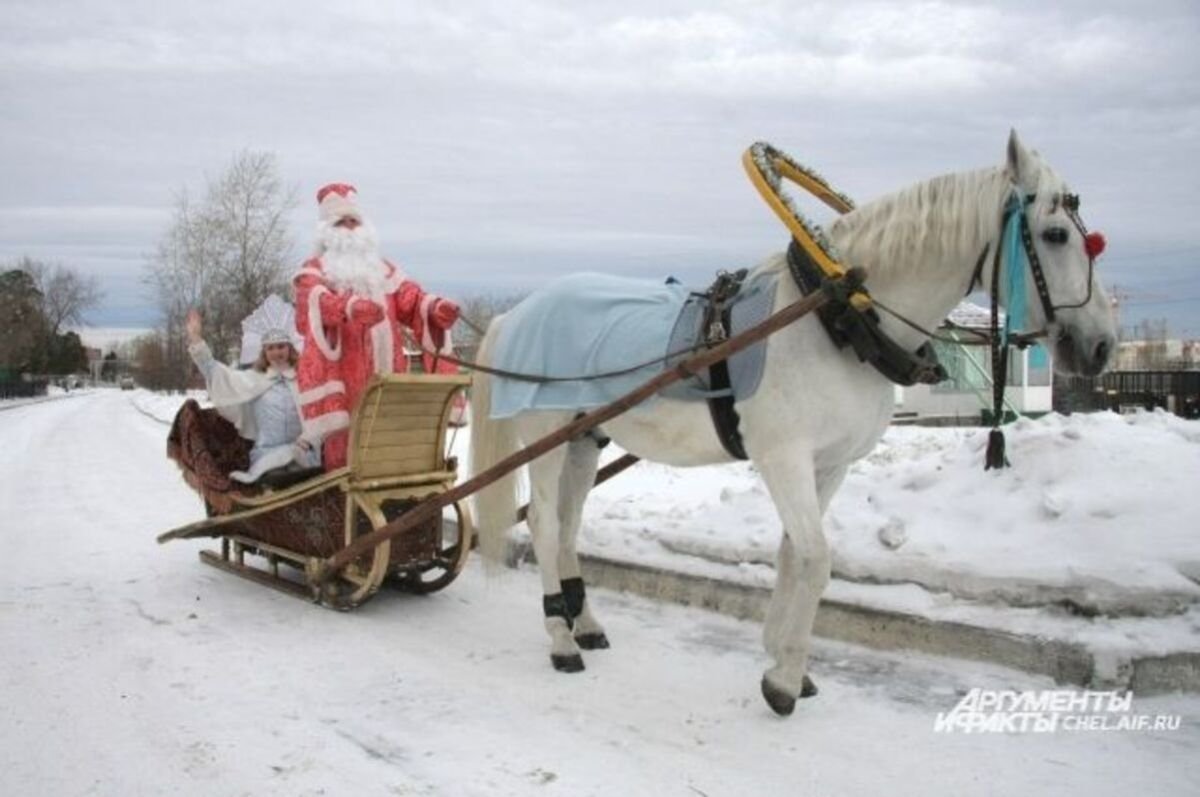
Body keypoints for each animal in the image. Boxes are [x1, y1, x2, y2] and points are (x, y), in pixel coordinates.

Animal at [465, 132, 1113, 715]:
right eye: (1055, 234)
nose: (1102, 346)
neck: (838, 317)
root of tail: (519, 312)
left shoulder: (828, 464)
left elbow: (791, 554)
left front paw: (782, 658)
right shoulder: (784, 458)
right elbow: (817, 559)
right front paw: (784, 679)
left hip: (584, 437)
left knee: (568, 525)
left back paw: (586, 623)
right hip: (544, 436)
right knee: (544, 523)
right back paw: (560, 640)